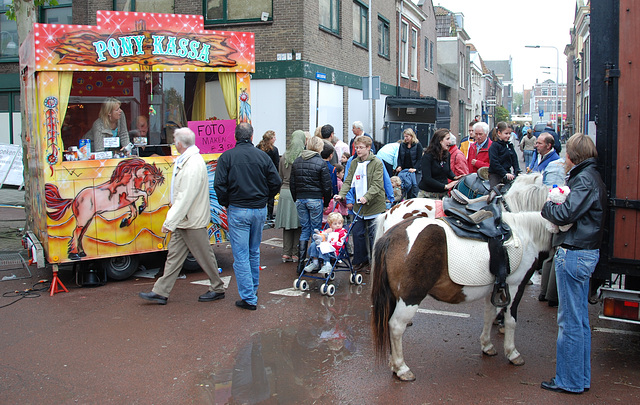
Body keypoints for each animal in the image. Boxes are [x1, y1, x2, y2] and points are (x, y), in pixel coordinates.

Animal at [372, 210, 552, 380]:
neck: (526, 233)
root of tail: (391, 236)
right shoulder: (515, 287)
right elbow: (511, 321)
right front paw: (512, 352)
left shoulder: (494, 290)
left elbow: (489, 315)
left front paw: (487, 345)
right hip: (410, 298)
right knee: (396, 327)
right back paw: (402, 368)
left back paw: (394, 364)